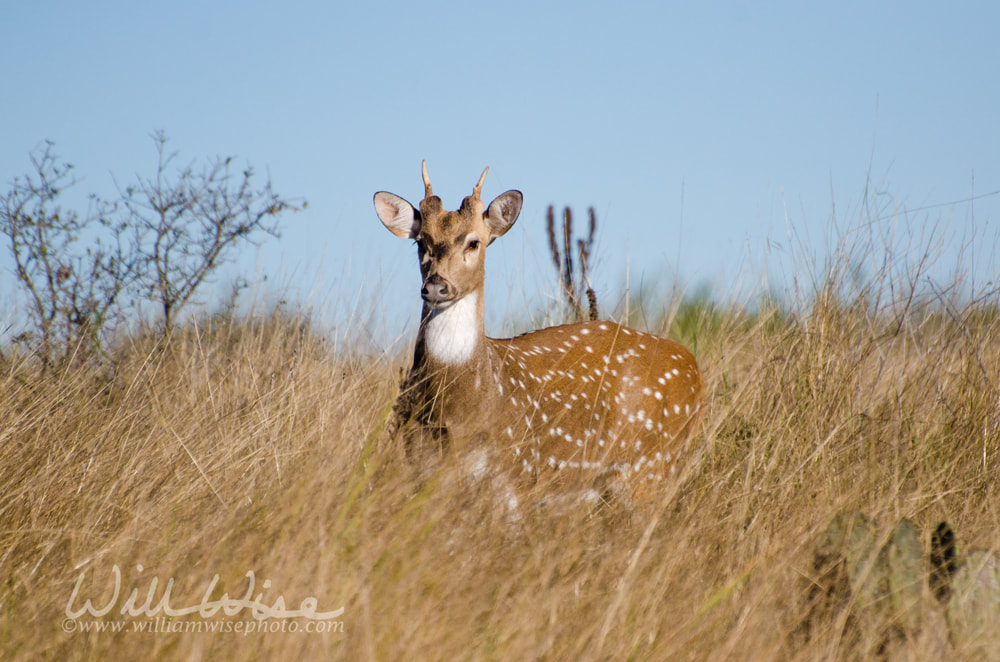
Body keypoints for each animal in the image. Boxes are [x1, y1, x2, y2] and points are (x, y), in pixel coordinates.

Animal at [374, 163, 704, 500]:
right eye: (420, 242)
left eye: (474, 242)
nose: (436, 287)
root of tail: (694, 369)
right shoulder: (421, 467)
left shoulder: (520, 470)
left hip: (653, 464)